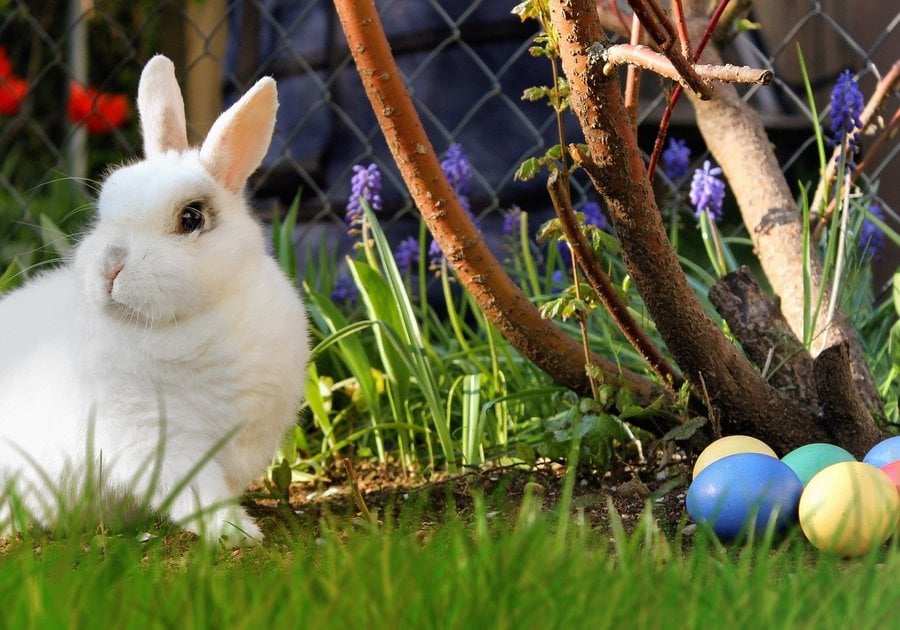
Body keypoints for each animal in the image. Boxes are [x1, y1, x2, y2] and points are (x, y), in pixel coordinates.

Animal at [0, 55, 310, 548]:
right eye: (104, 210)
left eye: (191, 217)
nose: (110, 267)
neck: (192, 321)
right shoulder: (154, 438)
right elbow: (197, 492)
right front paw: (237, 534)